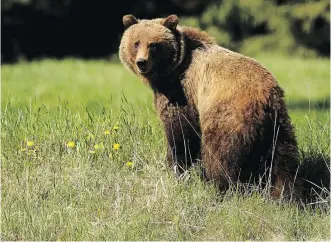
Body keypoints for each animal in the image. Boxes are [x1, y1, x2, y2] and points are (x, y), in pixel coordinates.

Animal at [119, 14, 304, 201]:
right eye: (136, 43)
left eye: (154, 45)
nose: (142, 62)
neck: (175, 68)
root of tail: (265, 98)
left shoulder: (183, 93)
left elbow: (180, 134)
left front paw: (176, 169)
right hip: (278, 125)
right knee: (283, 161)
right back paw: (285, 195)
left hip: (227, 116)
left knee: (219, 155)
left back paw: (219, 187)